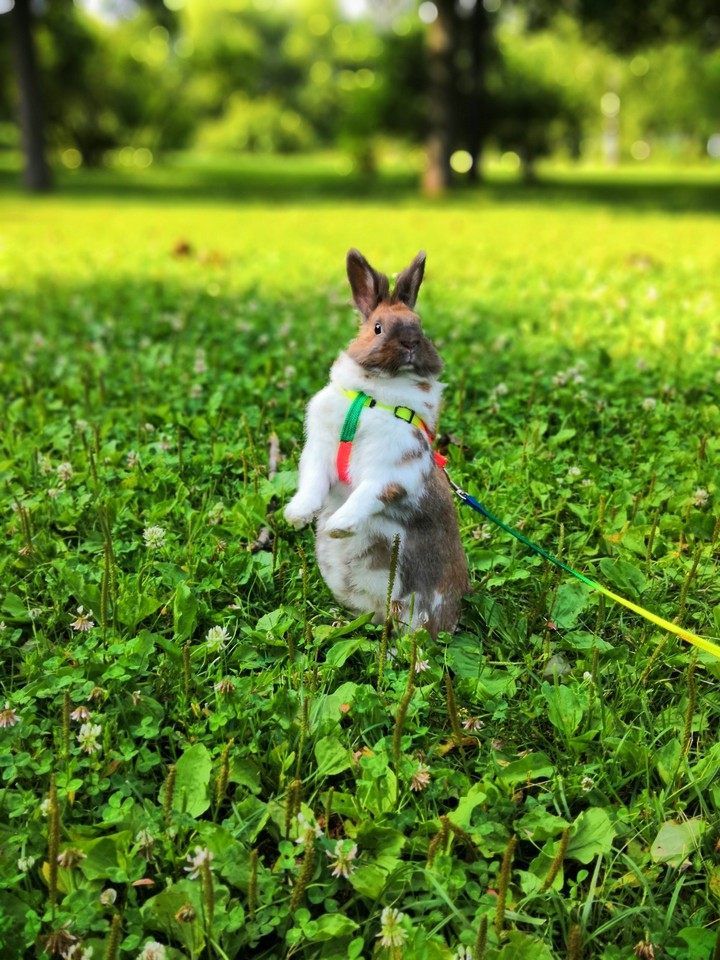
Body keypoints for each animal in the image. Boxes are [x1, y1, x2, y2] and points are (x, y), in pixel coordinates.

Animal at [284, 248, 470, 639]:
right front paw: (296, 515)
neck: (372, 398)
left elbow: (367, 495)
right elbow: (311, 485)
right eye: (378, 328)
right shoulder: (318, 454)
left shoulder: (395, 471)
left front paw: (338, 526)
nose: (411, 343)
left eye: (420, 325)